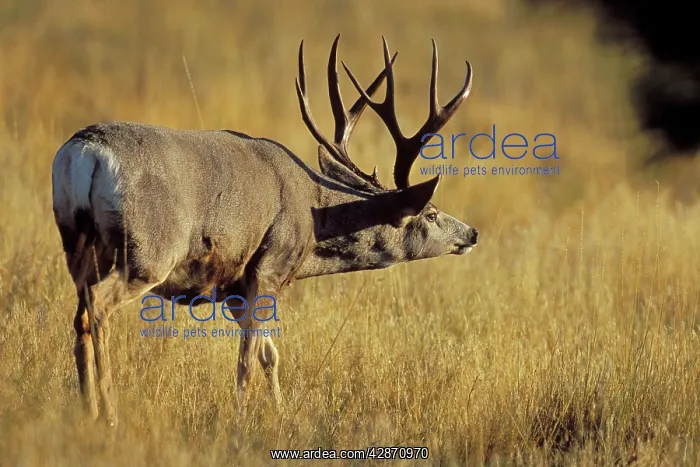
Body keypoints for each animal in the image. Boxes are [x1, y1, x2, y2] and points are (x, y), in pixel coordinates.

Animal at [51, 34, 478, 427]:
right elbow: (248, 359)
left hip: (78, 244)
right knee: (99, 304)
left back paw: (87, 409)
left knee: (81, 313)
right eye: (431, 214)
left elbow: (268, 354)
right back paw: (109, 414)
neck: (312, 219)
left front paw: (282, 414)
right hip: (149, 251)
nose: (472, 233)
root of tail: (85, 152)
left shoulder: (236, 287)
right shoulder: (270, 264)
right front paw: (241, 421)